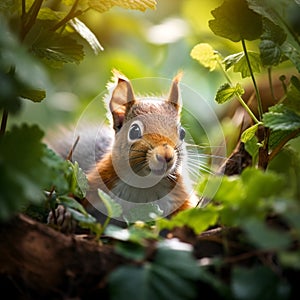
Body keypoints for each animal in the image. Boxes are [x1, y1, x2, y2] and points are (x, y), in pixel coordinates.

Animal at [47, 69, 199, 225]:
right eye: (134, 131)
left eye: (182, 133)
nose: (166, 156)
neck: (144, 182)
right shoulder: (95, 183)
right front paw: (63, 212)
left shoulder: (180, 197)